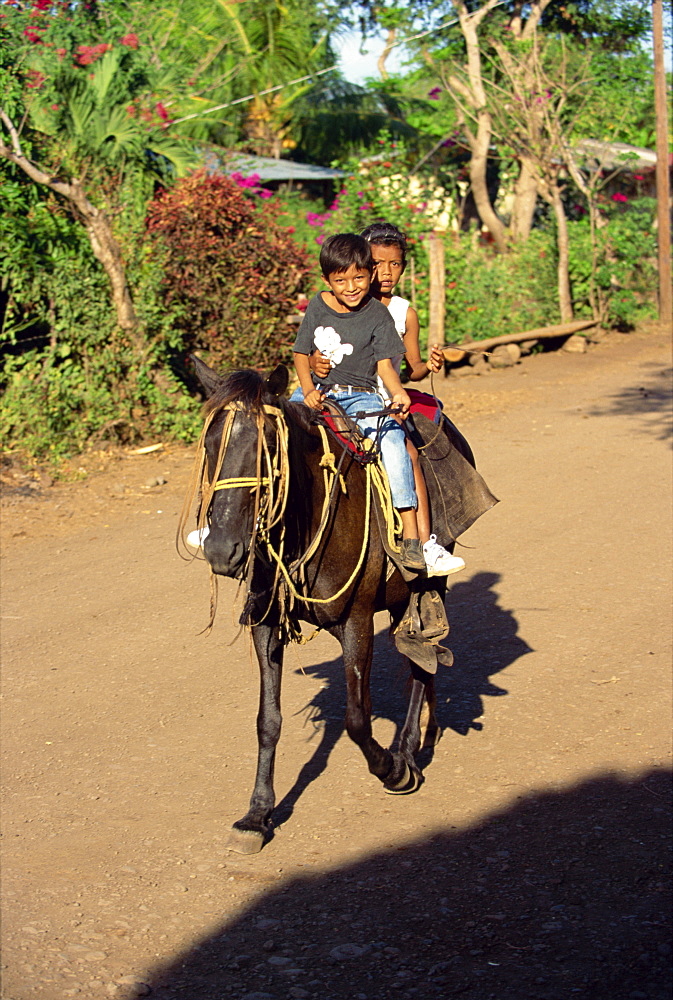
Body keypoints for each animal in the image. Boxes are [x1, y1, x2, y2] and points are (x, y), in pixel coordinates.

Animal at [178, 360, 462, 852]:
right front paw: (257, 814)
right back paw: (426, 732)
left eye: (269, 449)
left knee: (421, 663)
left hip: (429, 584)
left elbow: (357, 719)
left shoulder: (357, 620)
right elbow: (267, 720)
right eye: (211, 446)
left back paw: (408, 750)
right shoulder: (265, 622)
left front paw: (392, 768)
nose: (222, 550)